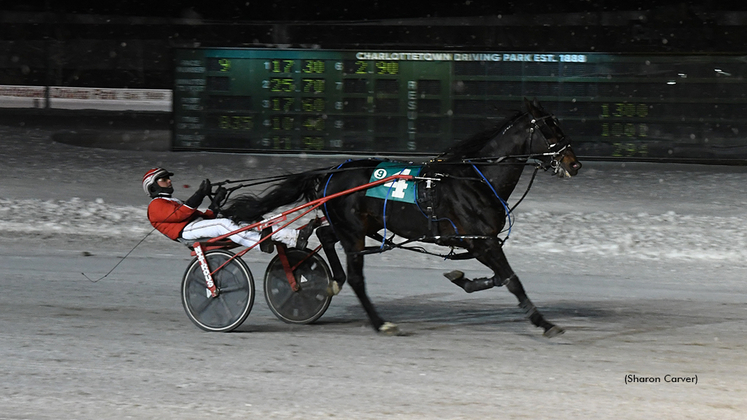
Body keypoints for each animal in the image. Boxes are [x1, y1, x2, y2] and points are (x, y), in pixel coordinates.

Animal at [224, 99, 584, 338]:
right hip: (353, 231)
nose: (574, 164)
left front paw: (461, 278)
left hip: (359, 226)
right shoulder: (482, 242)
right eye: (549, 127)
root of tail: (331, 171)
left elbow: (497, 278)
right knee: (356, 276)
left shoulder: (481, 243)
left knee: (325, 235)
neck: (476, 179)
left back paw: (329, 279)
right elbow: (512, 280)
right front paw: (545, 323)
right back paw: (380, 322)